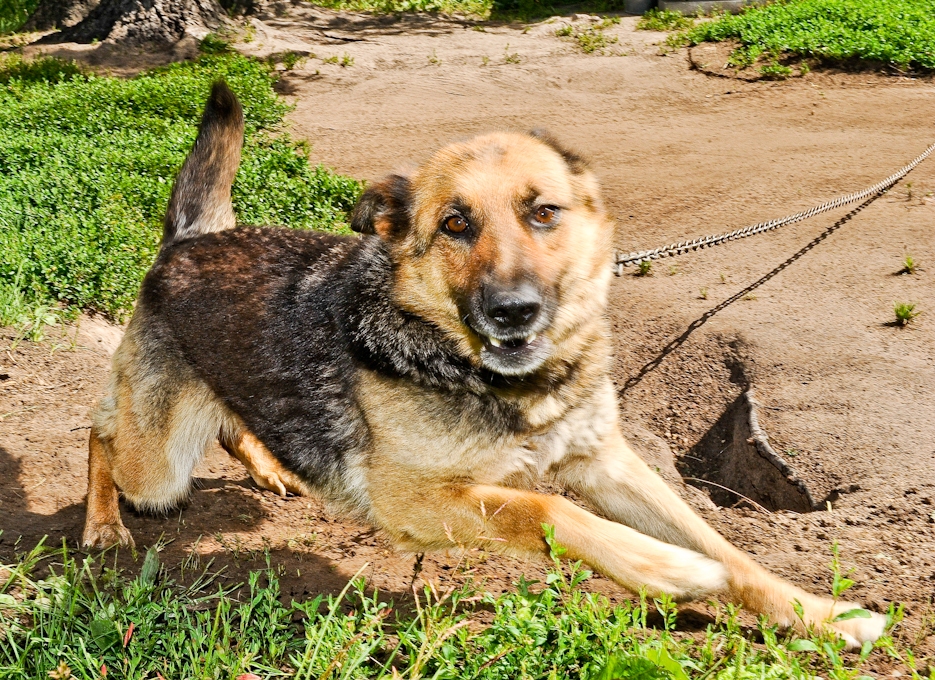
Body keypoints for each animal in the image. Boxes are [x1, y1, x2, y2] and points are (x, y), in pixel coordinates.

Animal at [80, 82, 884, 644]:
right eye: (455, 224)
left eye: (545, 212)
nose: (513, 311)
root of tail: (189, 242)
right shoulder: (419, 501)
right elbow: (546, 508)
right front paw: (664, 569)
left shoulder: (607, 463)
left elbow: (727, 547)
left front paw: (819, 615)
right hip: (157, 468)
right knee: (101, 432)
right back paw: (102, 525)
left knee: (222, 420)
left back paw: (271, 464)